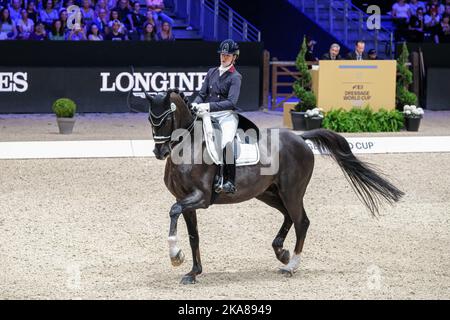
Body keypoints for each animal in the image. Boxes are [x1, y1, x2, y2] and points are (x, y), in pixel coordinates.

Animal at [148, 89, 404, 284]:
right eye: (151, 120)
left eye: (166, 119)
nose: (160, 152)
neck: (188, 147)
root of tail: (300, 137)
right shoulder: (186, 200)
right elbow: (194, 235)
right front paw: (192, 272)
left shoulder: (201, 198)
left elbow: (173, 211)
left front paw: (175, 256)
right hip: (269, 193)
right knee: (288, 216)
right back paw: (282, 252)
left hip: (292, 192)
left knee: (301, 221)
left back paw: (291, 265)